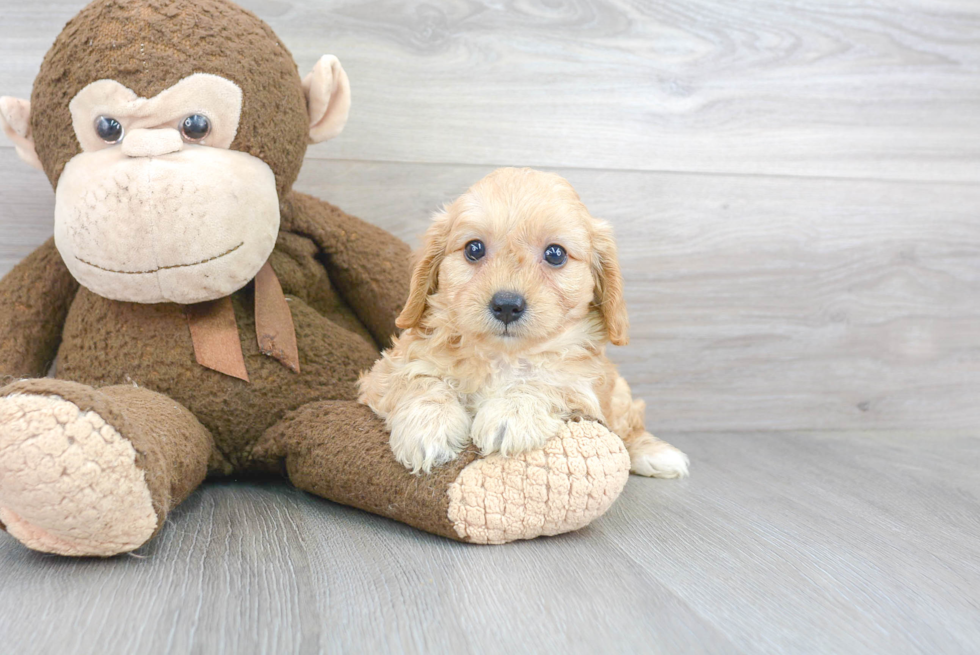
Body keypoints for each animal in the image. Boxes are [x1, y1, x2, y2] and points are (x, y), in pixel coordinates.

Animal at [360, 167, 688, 480]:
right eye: (473, 249)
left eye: (555, 254)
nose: (507, 305)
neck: (504, 356)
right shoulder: (387, 369)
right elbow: (417, 378)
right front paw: (429, 427)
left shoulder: (583, 382)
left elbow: (548, 380)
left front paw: (512, 412)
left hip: (619, 394)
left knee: (628, 426)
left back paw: (655, 454)